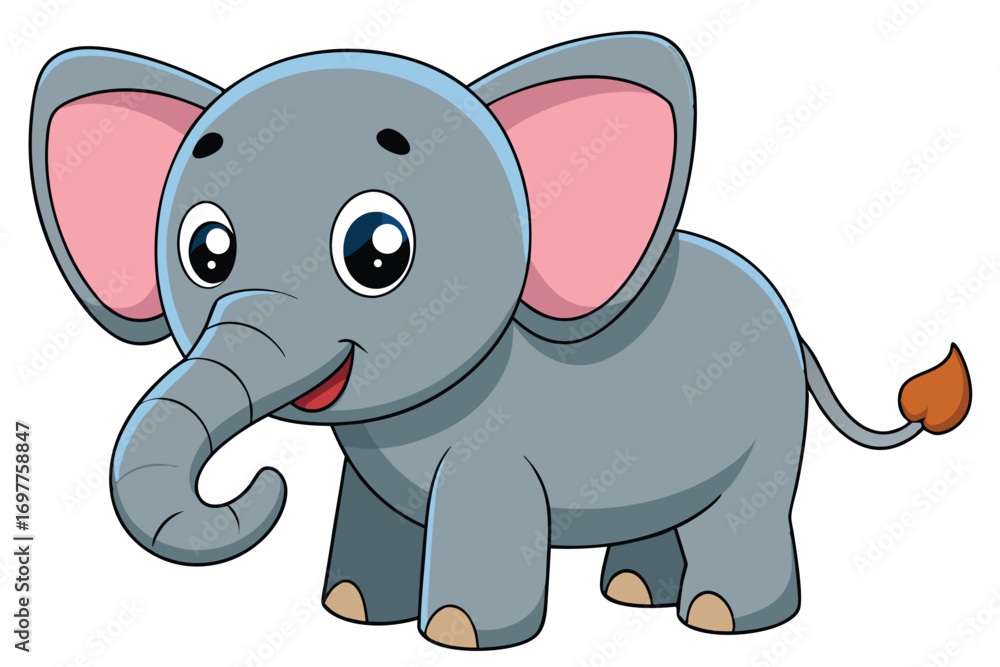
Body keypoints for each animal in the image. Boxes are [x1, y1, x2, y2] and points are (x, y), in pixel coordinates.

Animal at [30, 32, 972, 649]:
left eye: (377, 251)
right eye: (206, 251)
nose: (263, 481)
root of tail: (792, 318)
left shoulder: (495, 450)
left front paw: (455, 633)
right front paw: (351, 610)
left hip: (768, 423)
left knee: (746, 509)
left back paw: (721, 619)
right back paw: (636, 594)